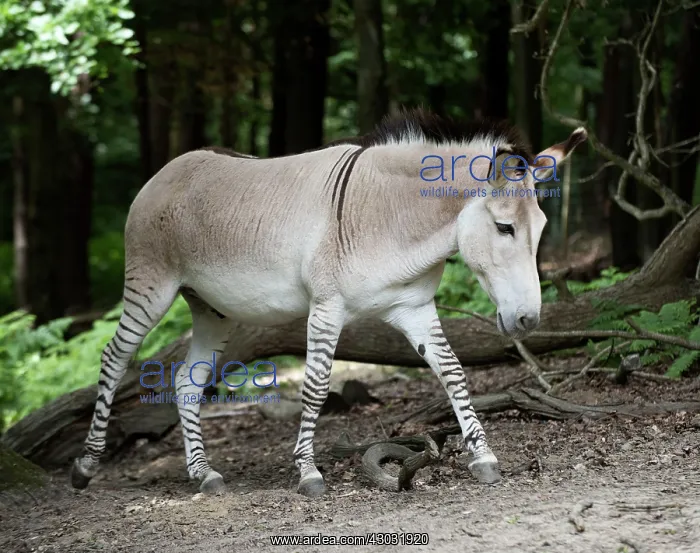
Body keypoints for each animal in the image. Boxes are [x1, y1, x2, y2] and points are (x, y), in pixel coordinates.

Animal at [71, 109, 587, 497]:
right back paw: (86, 466)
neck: (388, 216)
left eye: (541, 229)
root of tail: (169, 168)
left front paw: (483, 456)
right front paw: (307, 472)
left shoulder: (414, 307)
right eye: (505, 228)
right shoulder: (327, 306)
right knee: (114, 358)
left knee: (187, 382)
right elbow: (317, 385)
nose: (528, 320)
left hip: (213, 309)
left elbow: (454, 372)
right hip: (150, 285)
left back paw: (204, 474)